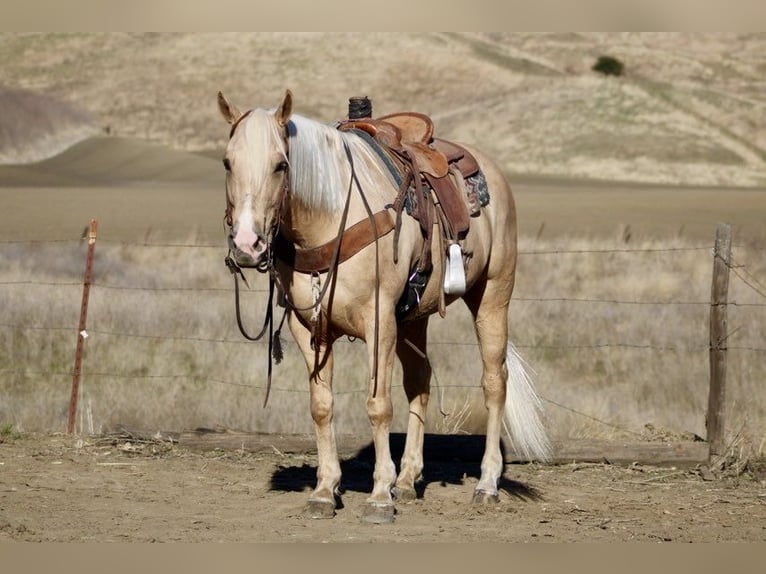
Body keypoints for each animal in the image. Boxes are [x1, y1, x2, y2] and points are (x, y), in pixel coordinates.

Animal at [219, 90, 548, 528]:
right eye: (227, 162)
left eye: (280, 164)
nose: (247, 244)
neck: (329, 218)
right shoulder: (308, 329)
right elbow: (321, 407)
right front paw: (325, 491)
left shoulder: (379, 324)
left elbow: (378, 406)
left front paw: (378, 496)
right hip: (413, 319)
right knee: (420, 382)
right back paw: (408, 481)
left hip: (493, 295)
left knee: (494, 383)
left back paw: (486, 484)